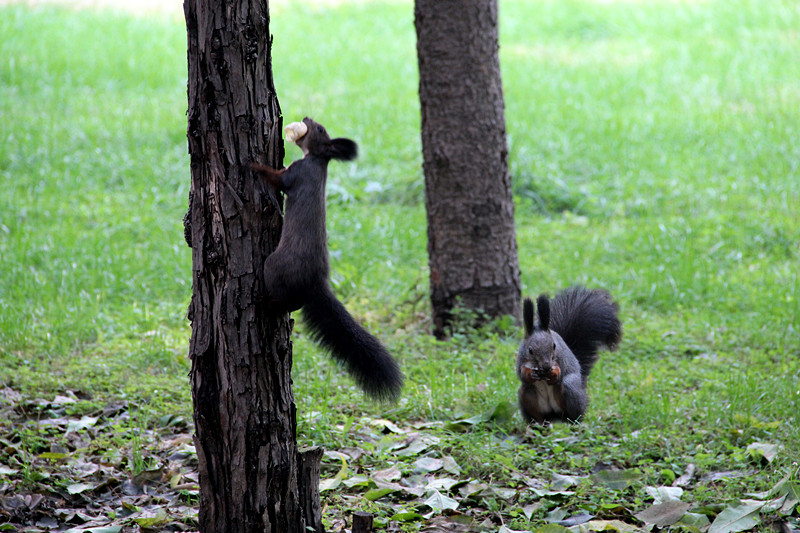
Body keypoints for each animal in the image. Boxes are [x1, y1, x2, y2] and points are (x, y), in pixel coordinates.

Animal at [252, 115, 404, 400]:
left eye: (320, 129)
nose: (306, 118)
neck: (318, 161)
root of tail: (316, 282)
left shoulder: (297, 174)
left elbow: (276, 179)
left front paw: (252, 165)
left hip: (275, 267)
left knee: (284, 299)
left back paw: (265, 302)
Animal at [516, 284, 620, 422]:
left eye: (554, 346)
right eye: (530, 350)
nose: (547, 366)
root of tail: (554, 415)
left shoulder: (562, 358)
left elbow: (561, 371)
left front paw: (554, 374)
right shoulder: (521, 359)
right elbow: (521, 374)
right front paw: (530, 374)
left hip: (571, 390)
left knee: (574, 412)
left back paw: (574, 421)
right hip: (527, 395)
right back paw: (536, 425)